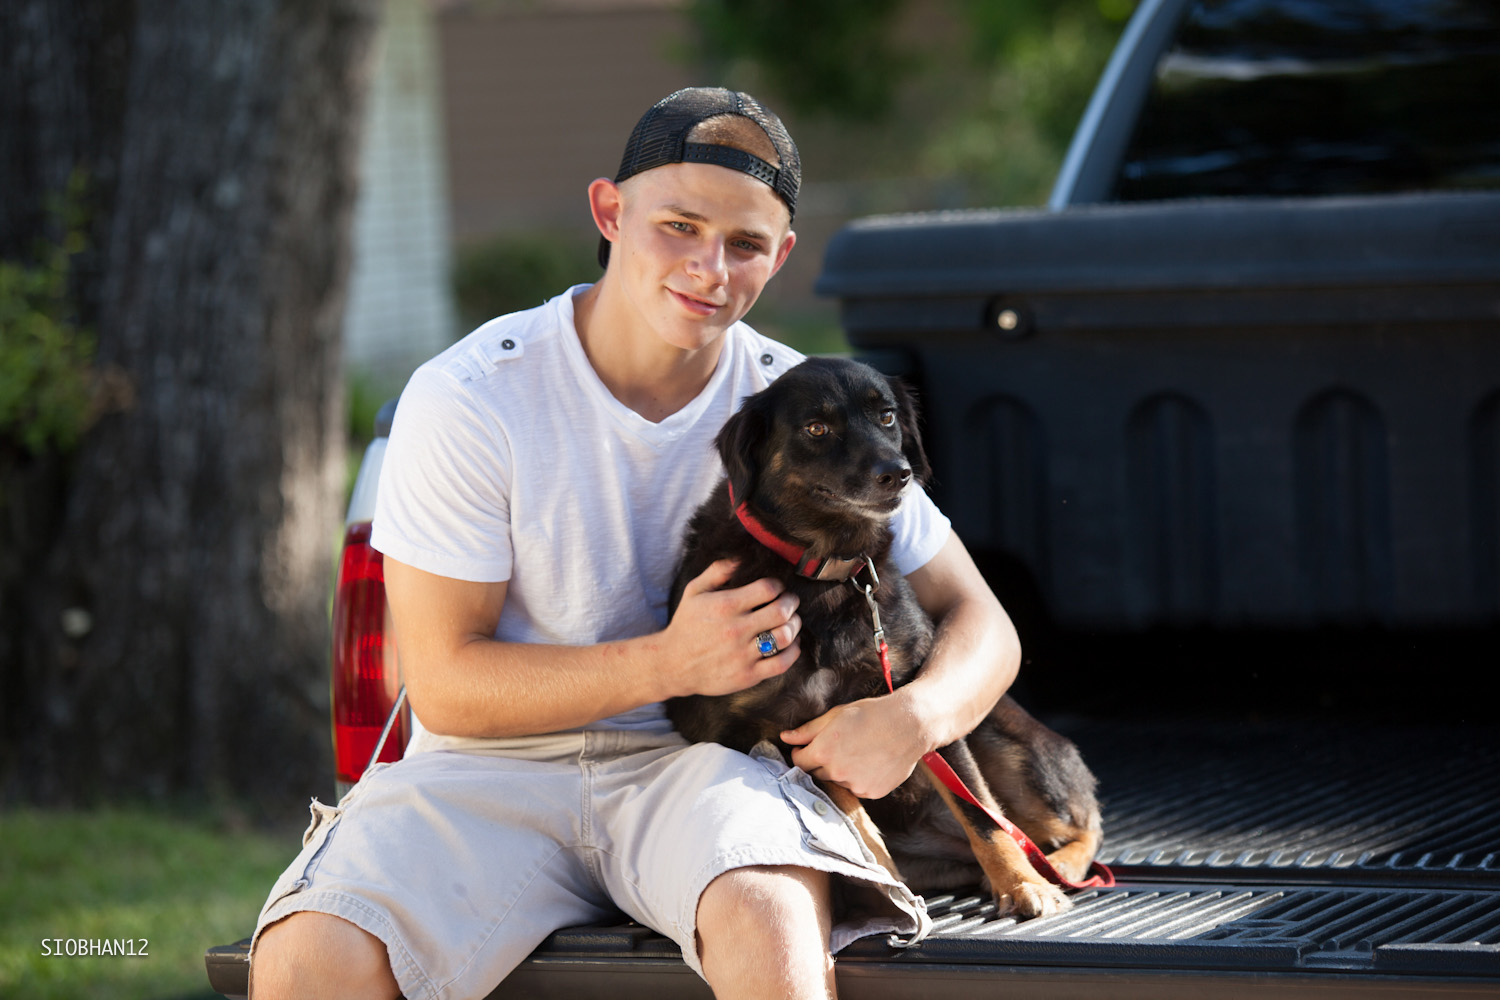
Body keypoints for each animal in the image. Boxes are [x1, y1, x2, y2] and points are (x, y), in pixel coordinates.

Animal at [669, 355, 1104, 917]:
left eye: (888, 417)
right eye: (817, 428)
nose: (897, 473)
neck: (825, 571)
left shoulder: (919, 701)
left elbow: (981, 813)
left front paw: (1022, 883)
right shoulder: (770, 734)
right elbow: (849, 813)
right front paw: (885, 879)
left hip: (999, 739)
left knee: (1074, 824)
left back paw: (1059, 868)